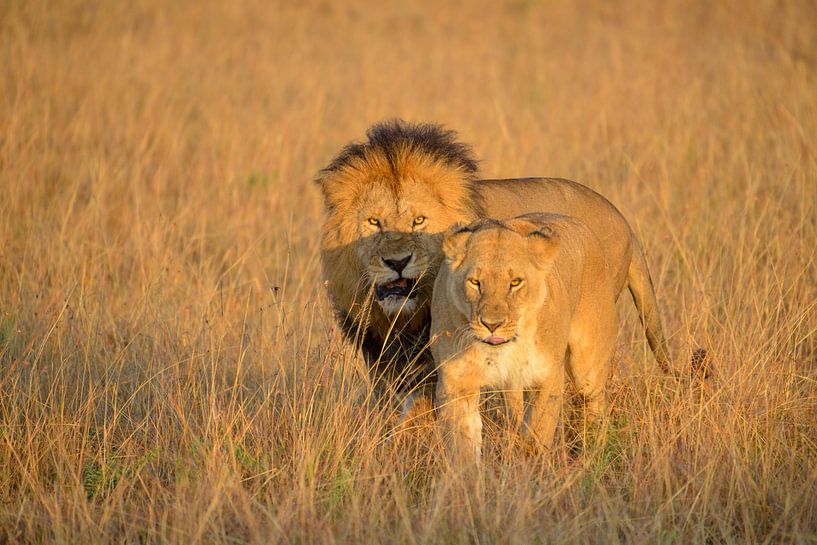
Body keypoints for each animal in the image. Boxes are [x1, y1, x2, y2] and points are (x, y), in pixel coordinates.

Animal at [315, 120, 670, 404]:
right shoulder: (382, 356)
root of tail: (621, 218)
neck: (406, 319)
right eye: (374, 222)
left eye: (419, 221)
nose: (397, 261)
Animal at [431, 214, 618, 463]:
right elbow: (462, 445)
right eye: (475, 282)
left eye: (515, 282)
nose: (492, 325)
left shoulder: (547, 379)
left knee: (595, 404)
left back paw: (592, 455)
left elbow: (537, 433)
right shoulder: (456, 383)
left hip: (587, 368)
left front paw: (531, 466)